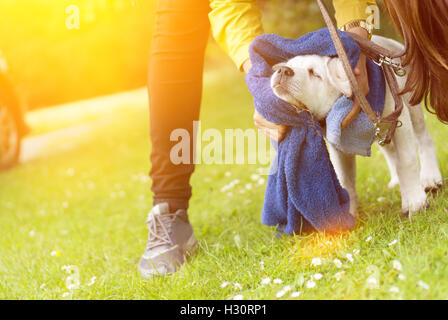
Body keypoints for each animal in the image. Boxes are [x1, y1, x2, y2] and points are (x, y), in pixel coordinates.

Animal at [272, 35, 442, 218]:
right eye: (290, 64)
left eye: (315, 74)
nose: (283, 69)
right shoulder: (339, 144)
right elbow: (345, 178)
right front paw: (350, 213)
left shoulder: (399, 119)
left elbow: (407, 161)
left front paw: (415, 204)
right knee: (390, 152)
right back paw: (397, 182)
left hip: (411, 104)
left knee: (423, 139)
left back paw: (431, 179)